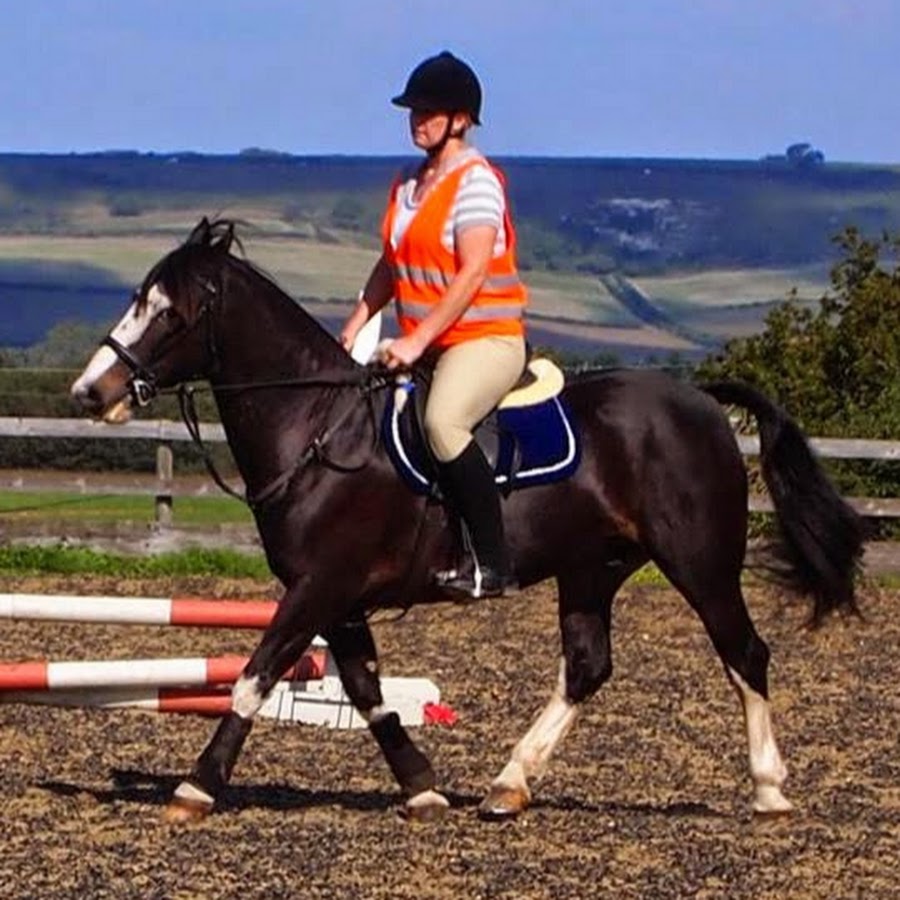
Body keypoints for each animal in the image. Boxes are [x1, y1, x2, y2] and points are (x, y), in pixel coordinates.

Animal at [70, 218, 865, 824]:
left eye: (168, 311)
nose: (89, 392)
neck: (319, 426)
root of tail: (700, 400)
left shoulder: (320, 586)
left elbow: (253, 677)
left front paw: (195, 787)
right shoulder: (338, 597)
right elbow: (366, 693)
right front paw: (422, 788)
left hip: (699, 562)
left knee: (745, 654)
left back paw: (768, 790)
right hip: (591, 569)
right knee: (587, 666)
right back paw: (509, 784)